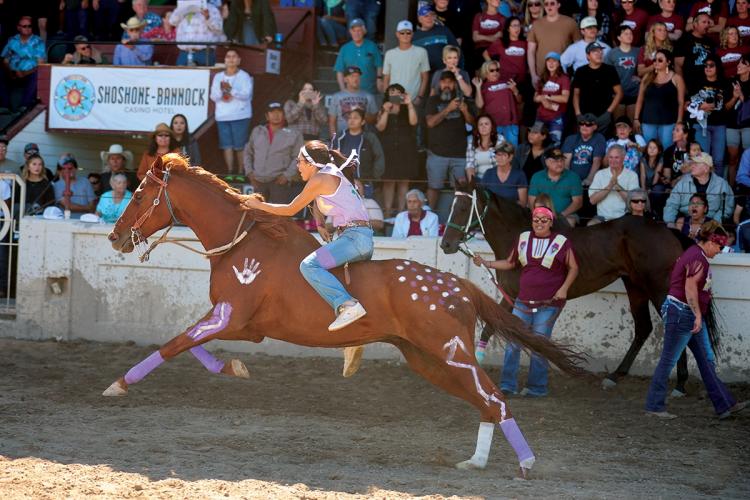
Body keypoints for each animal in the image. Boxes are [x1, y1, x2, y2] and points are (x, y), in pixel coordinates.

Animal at [103, 154, 588, 477]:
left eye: (141, 193)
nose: (114, 237)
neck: (242, 245)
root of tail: (461, 285)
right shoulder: (237, 323)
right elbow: (190, 344)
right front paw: (233, 367)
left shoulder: (230, 315)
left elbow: (175, 343)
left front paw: (118, 384)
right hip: (428, 360)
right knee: (485, 402)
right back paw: (476, 460)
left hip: (450, 352)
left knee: (496, 398)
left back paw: (526, 462)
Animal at [440, 178, 700, 394]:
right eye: (451, 205)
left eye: (463, 208)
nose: (445, 244)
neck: (520, 238)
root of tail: (667, 231)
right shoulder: (514, 297)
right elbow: (501, 329)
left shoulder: (516, 295)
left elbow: (498, 328)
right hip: (636, 287)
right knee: (644, 328)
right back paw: (615, 376)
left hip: (659, 287)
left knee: (679, 328)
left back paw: (679, 383)